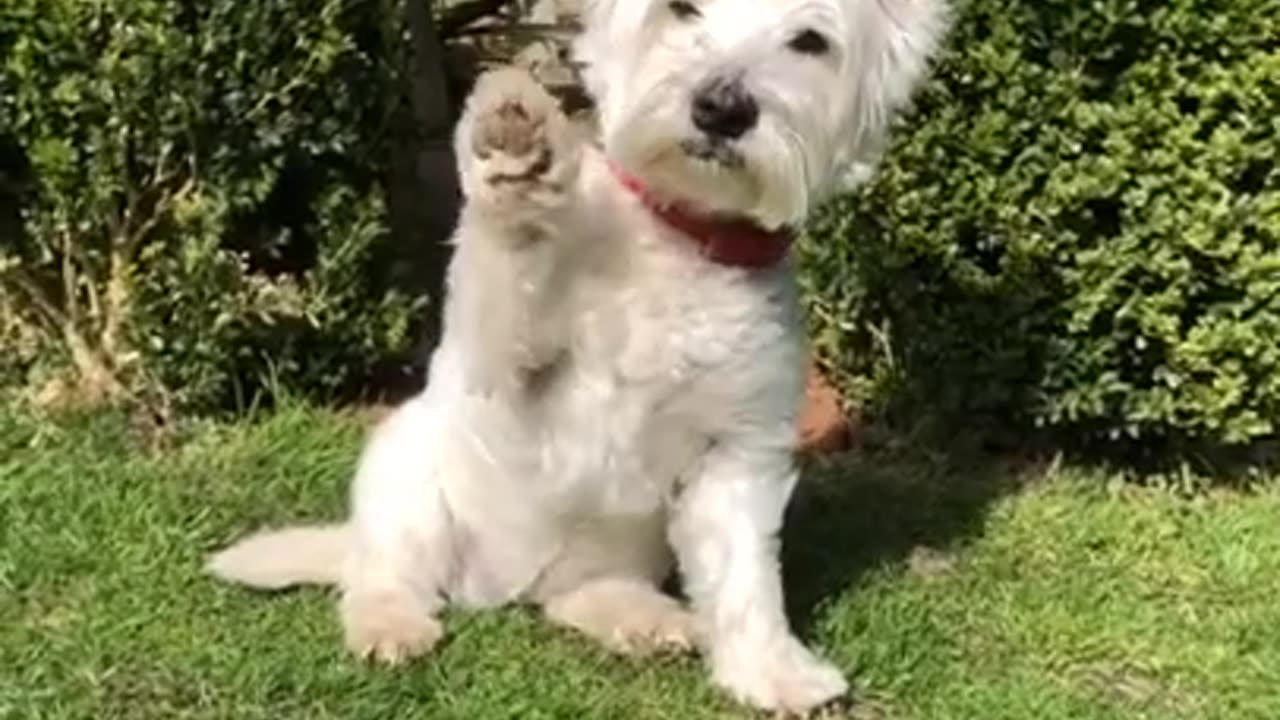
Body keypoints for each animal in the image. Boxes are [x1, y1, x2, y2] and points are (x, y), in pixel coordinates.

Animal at [209, 0, 947, 707]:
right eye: (681, 9)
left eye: (810, 41)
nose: (721, 107)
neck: (682, 241)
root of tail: (506, 586)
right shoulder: (507, 371)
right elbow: (508, 265)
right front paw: (519, 162)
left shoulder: (739, 449)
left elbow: (745, 577)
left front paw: (771, 673)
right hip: (409, 478)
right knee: (385, 573)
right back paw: (389, 622)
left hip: (618, 546)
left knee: (576, 594)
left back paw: (645, 619)